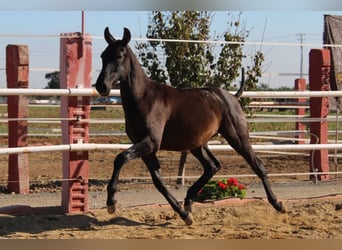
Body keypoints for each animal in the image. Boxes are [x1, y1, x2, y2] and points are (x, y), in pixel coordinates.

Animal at [95, 27, 284, 227]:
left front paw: (111, 203)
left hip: (237, 137)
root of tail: (232, 96)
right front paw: (184, 215)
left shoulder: (150, 142)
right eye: (103, 55)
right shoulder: (146, 147)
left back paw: (278, 204)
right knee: (213, 166)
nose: (101, 86)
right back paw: (188, 202)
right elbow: (158, 181)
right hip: (197, 144)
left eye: (119, 55)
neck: (144, 98)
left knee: (257, 165)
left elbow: (121, 158)